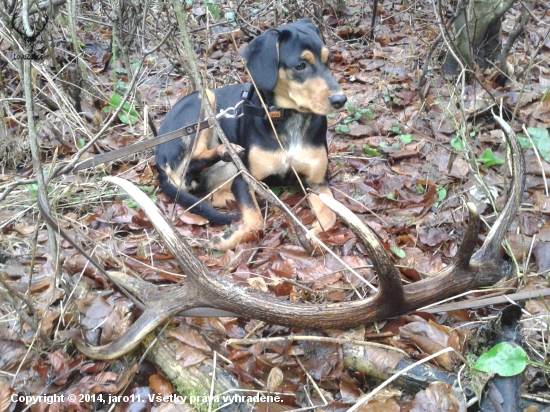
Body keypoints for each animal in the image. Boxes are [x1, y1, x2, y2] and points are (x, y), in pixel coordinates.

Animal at [155, 18, 348, 251]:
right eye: (300, 66)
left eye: (329, 60)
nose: (340, 100)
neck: (287, 117)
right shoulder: (244, 180)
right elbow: (256, 221)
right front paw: (229, 240)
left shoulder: (318, 182)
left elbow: (331, 215)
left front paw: (316, 236)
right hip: (204, 101)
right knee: (187, 167)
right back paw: (226, 150)